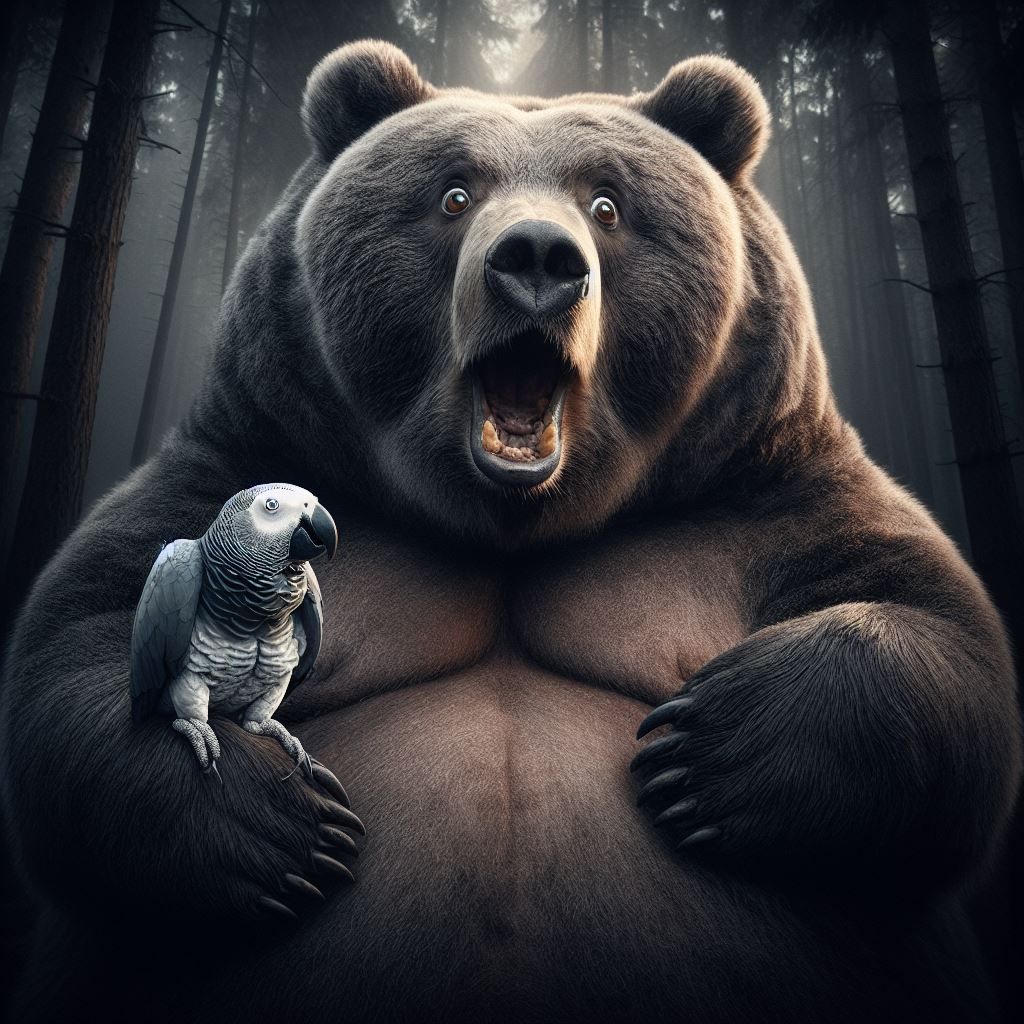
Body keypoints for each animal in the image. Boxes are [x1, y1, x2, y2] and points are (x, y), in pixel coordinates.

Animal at [1, 39, 1020, 1024]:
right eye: (454, 194)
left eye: (608, 203)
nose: (536, 257)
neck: (513, 526)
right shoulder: (244, 454)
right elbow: (81, 653)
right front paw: (288, 832)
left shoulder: (760, 495)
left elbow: (939, 637)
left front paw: (706, 749)